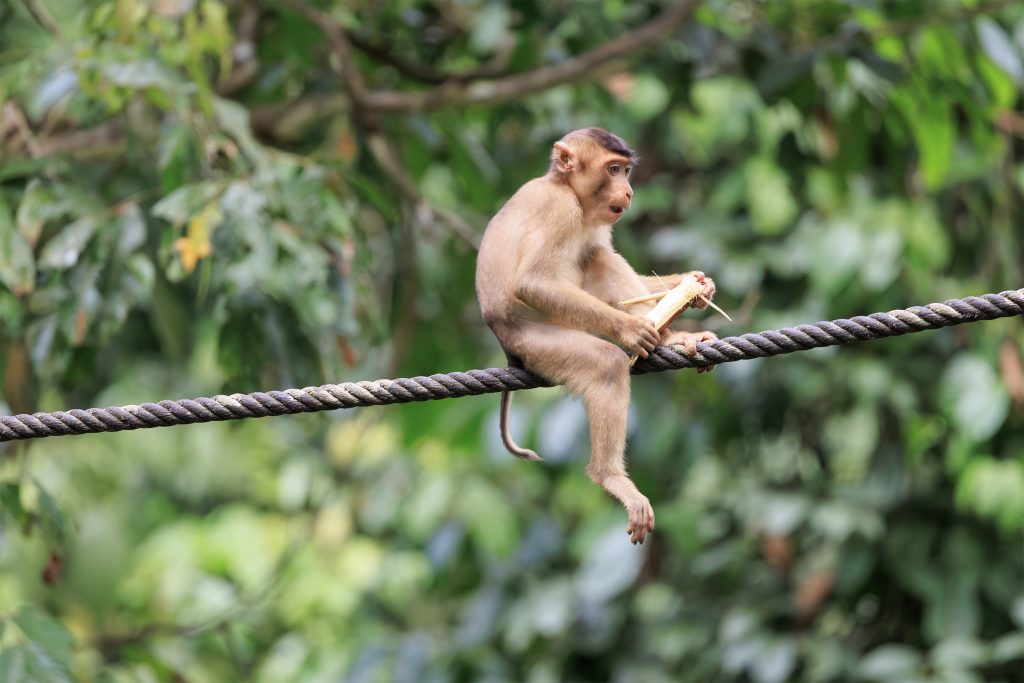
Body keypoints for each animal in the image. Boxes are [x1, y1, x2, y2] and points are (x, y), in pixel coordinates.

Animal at [475, 127, 717, 544]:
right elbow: (533, 283)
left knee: (597, 256)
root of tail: (506, 345)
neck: (565, 187)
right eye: (613, 169)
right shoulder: (560, 210)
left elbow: (600, 254)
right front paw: (631, 329)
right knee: (604, 364)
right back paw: (610, 476)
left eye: (626, 171)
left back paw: (670, 337)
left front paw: (694, 286)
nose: (629, 191)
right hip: (537, 341)